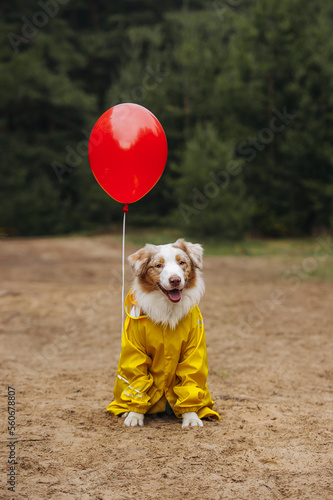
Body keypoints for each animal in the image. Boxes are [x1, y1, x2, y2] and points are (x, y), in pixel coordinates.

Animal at [106, 240, 219, 428]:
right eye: (158, 265)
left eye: (182, 262)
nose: (175, 280)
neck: (168, 309)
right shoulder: (136, 351)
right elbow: (138, 381)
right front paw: (135, 415)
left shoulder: (192, 350)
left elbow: (190, 380)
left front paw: (191, 417)